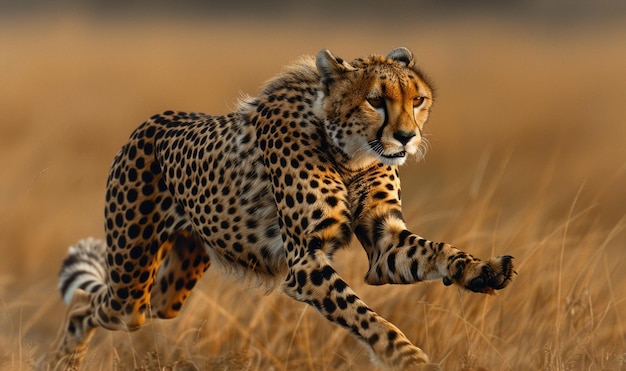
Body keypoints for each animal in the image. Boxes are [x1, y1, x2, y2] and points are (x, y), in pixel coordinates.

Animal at [42, 48, 512, 370]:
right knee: (83, 305)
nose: (406, 137)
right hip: (130, 287)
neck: (348, 153)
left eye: (417, 100)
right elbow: (365, 317)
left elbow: (437, 250)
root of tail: (154, 120)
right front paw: (407, 357)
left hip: (169, 288)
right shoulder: (304, 264)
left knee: (122, 301)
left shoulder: (384, 243)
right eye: (375, 100)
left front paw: (479, 269)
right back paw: (61, 360)